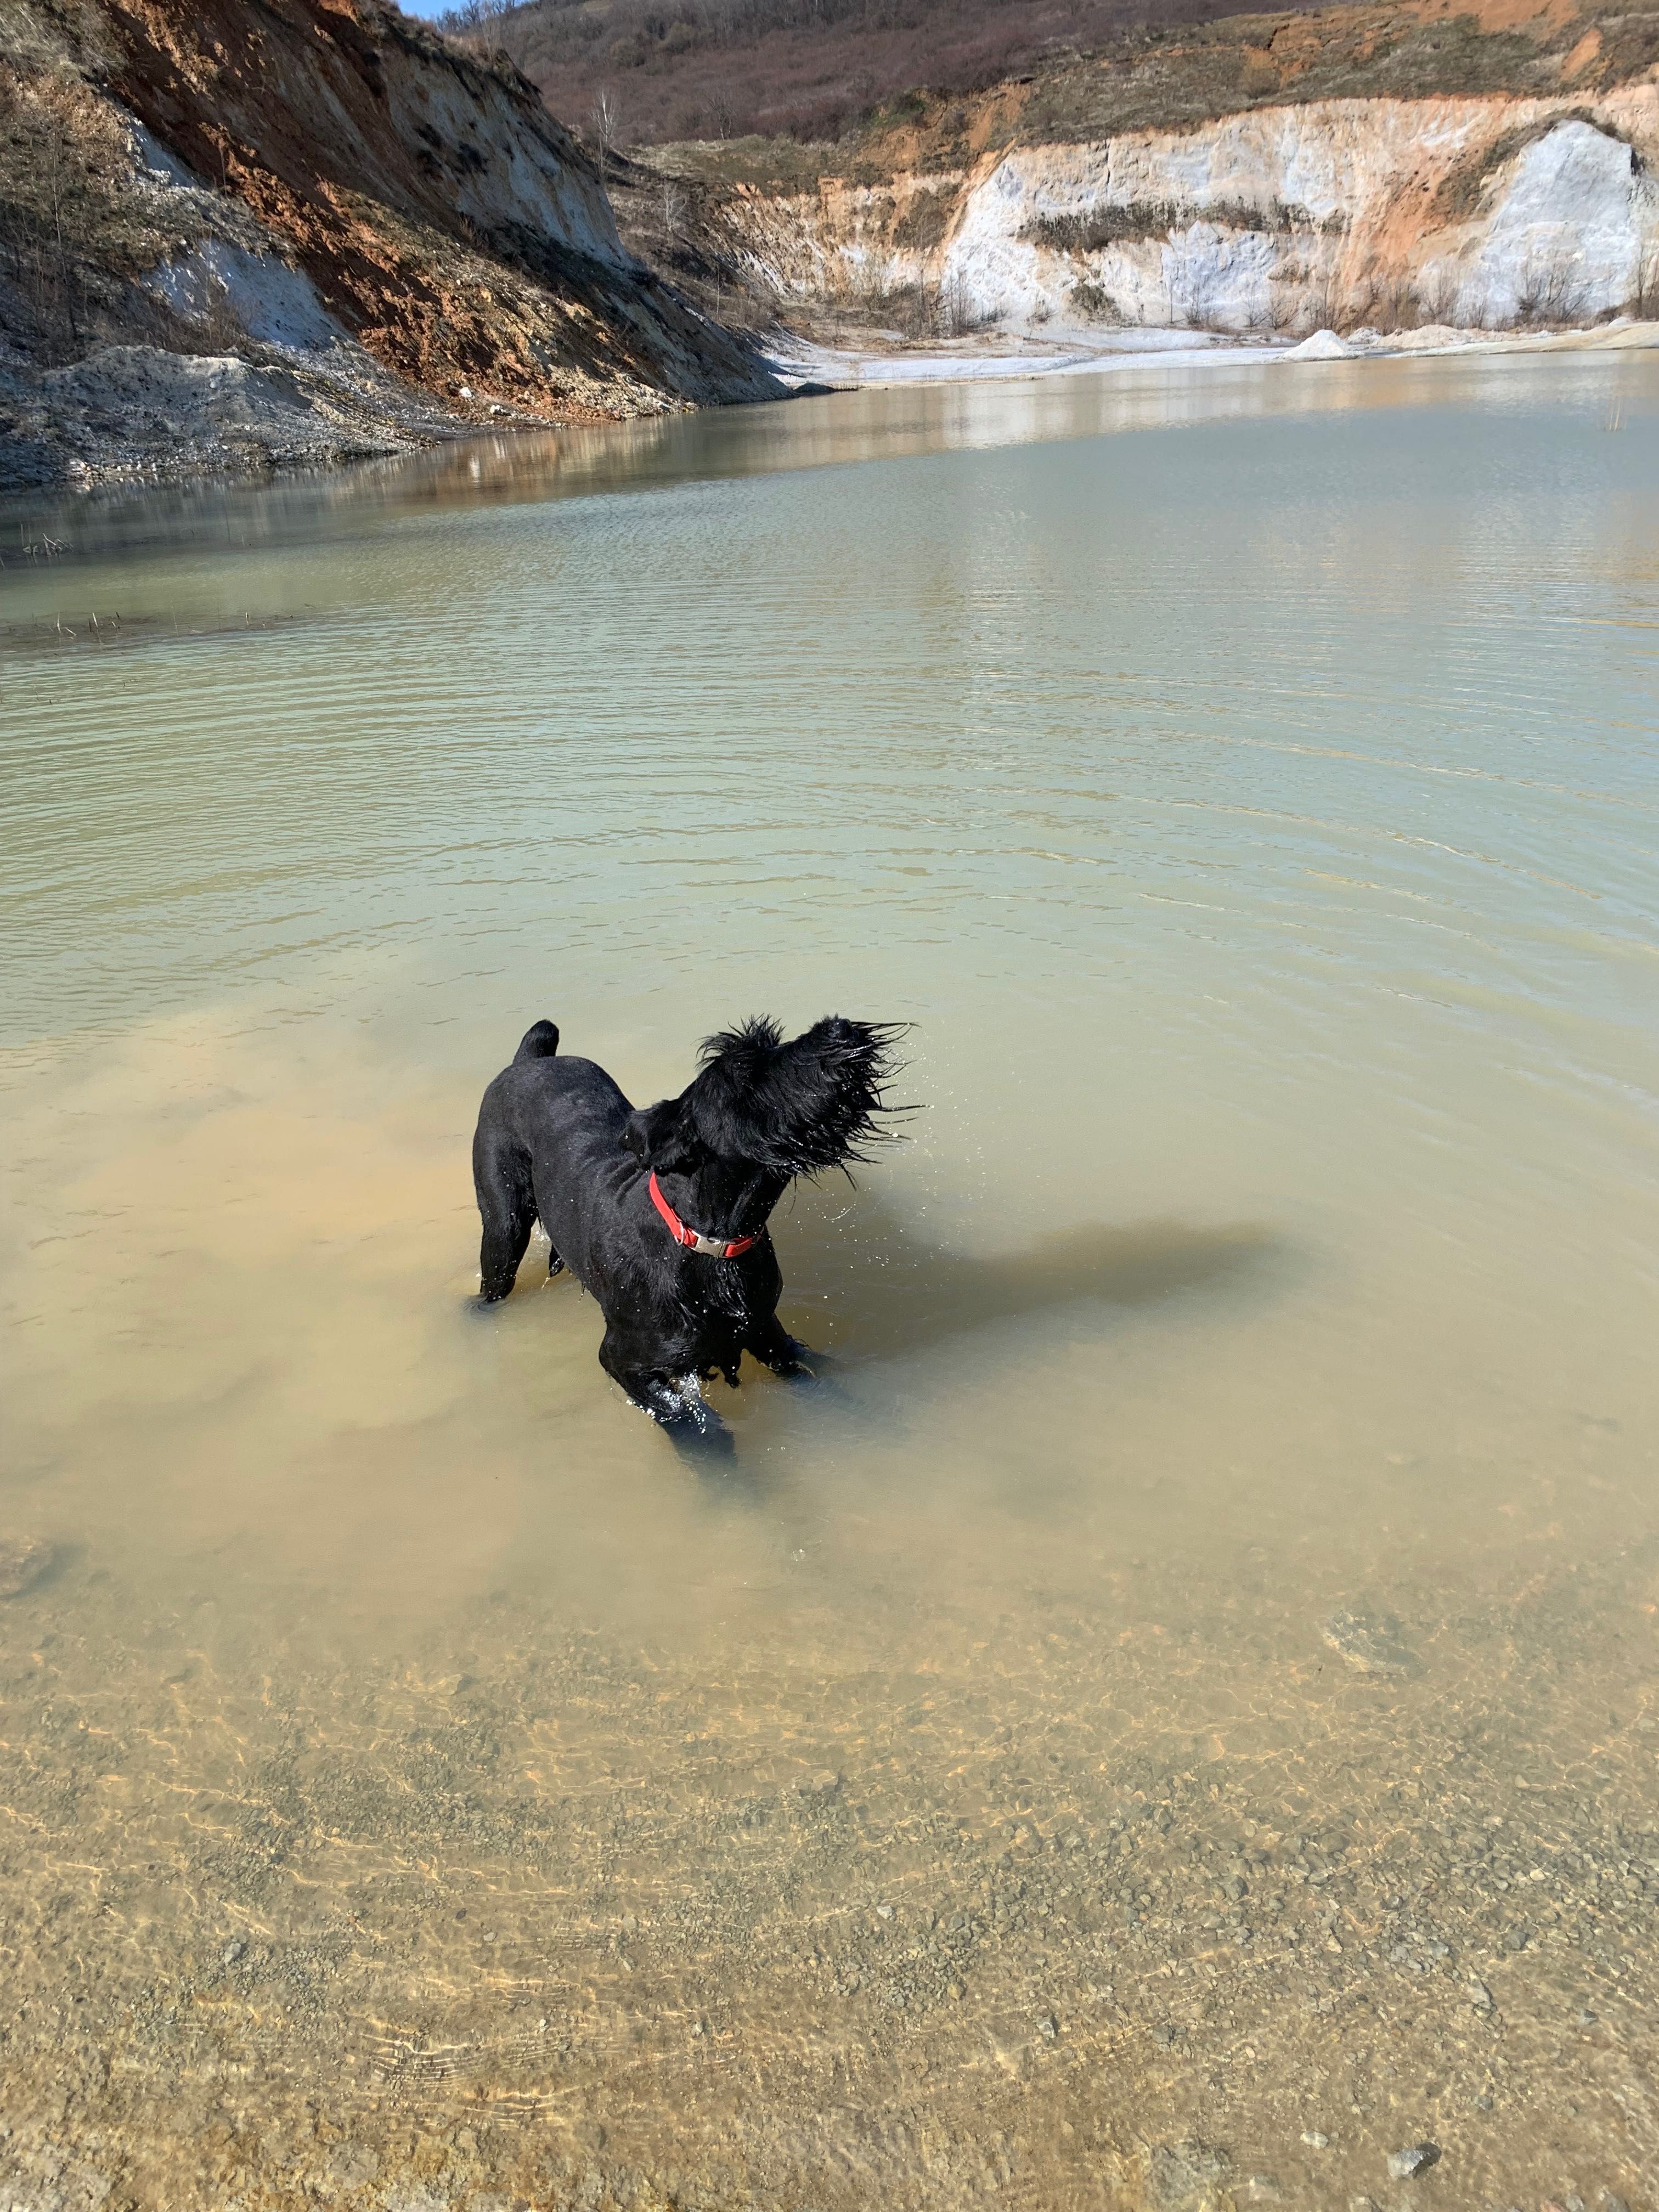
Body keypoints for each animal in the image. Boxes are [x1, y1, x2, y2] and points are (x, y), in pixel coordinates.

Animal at [469, 1013, 911, 1442]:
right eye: (747, 1073)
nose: (839, 1027)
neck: (710, 1243)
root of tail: (529, 1061)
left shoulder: (766, 1331)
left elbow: (818, 1377)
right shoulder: (625, 1362)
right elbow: (700, 1432)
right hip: (504, 1230)